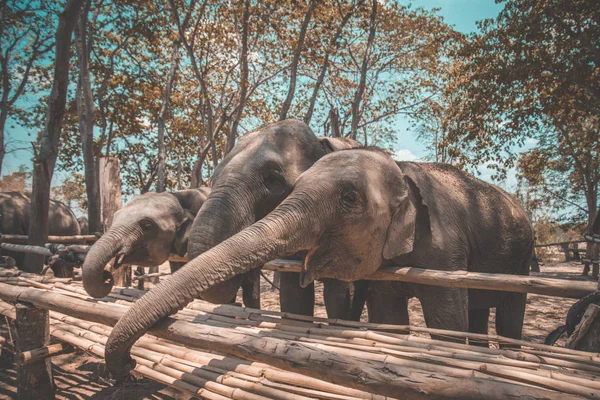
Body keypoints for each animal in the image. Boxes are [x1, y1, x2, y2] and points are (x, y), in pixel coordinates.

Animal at [104, 148, 536, 382]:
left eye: (350, 197)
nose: (128, 365)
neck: (401, 167)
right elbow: (388, 315)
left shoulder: (446, 247)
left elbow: (446, 317)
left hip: (523, 257)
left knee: (509, 310)